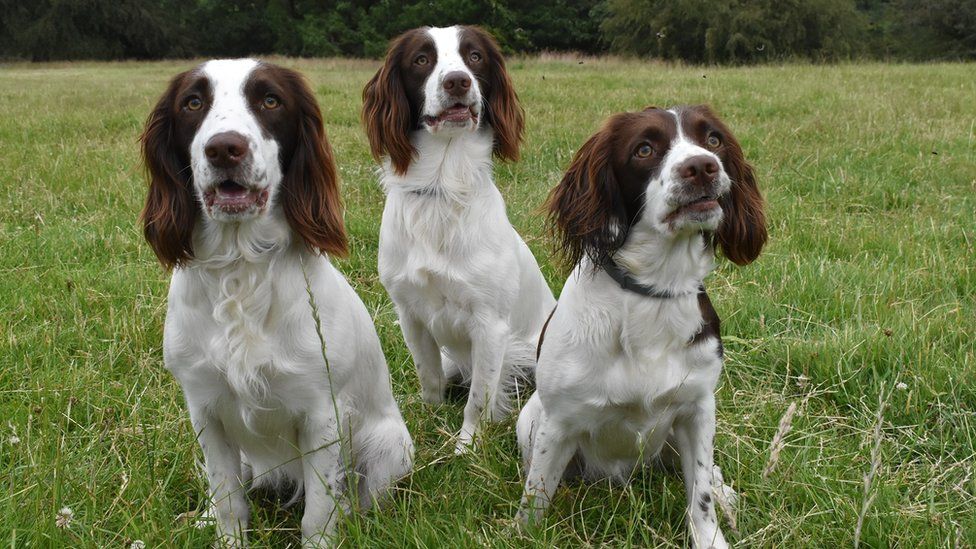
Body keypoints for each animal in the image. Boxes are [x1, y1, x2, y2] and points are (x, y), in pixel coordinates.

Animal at [141, 57, 412, 544]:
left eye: (270, 100)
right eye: (192, 102)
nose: (224, 148)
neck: (240, 267)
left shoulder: (322, 414)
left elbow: (319, 511)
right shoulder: (204, 408)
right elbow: (228, 501)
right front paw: (226, 537)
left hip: (389, 446)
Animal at [360, 25, 556, 452]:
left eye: (475, 56)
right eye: (421, 59)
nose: (457, 81)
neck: (442, 187)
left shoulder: (490, 325)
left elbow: (479, 398)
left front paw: (466, 445)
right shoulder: (410, 313)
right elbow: (429, 376)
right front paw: (428, 418)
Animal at [516, 104, 768, 548]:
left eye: (714, 139)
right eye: (644, 149)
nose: (702, 166)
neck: (653, 292)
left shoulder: (698, 408)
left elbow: (700, 494)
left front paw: (710, 534)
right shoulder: (558, 421)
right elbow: (536, 496)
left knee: (711, 473)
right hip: (528, 421)